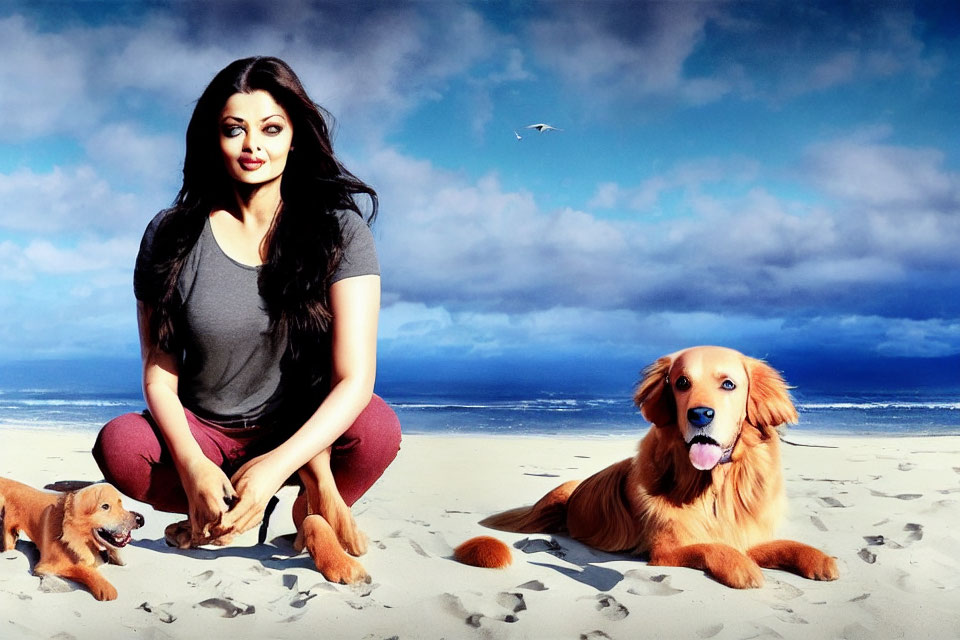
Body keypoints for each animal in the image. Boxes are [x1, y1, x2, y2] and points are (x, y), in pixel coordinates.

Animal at [0, 476, 144, 600]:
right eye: (105, 506)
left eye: (121, 504)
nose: (140, 519)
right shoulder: (45, 567)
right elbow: (81, 568)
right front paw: (106, 590)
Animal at [474, 348, 840, 588]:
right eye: (681, 383)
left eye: (728, 384)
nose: (700, 414)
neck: (711, 486)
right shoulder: (666, 551)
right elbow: (711, 547)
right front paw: (742, 569)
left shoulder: (744, 533)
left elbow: (780, 544)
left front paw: (819, 559)